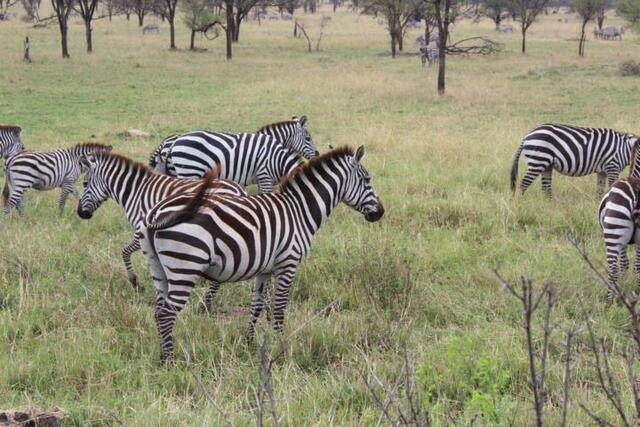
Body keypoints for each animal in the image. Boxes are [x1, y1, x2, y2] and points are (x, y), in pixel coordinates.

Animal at [76, 150, 247, 293]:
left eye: (84, 184)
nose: (80, 214)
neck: (136, 192)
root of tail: (240, 190)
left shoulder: (142, 230)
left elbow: (124, 251)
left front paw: (135, 282)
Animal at [139, 145, 384, 363]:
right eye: (367, 180)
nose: (380, 213)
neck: (299, 211)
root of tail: (156, 215)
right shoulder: (288, 264)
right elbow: (279, 308)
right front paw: (281, 344)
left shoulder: (264, 269)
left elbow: (256, 305)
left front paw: (248, 342)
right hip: (184, 266)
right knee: (167, 313)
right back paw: (170, 360)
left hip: (158, 268)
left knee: (158, 311)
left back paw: (162, 356)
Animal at [151, 131, 303, 193]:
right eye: (307, 138)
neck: (278, 160)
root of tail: (174, 141)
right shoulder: (264, 175)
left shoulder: (262, 180)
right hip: (189, 171)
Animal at [511, 124, 639, 199]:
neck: (626, 149)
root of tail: (526, 136)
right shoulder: (613, 166)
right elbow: (611, 187)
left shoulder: (602, 171)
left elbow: (599, 191)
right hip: (538, 160)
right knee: (524, 184)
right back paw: (521, 205)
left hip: (546, 165)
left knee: (546, 188)